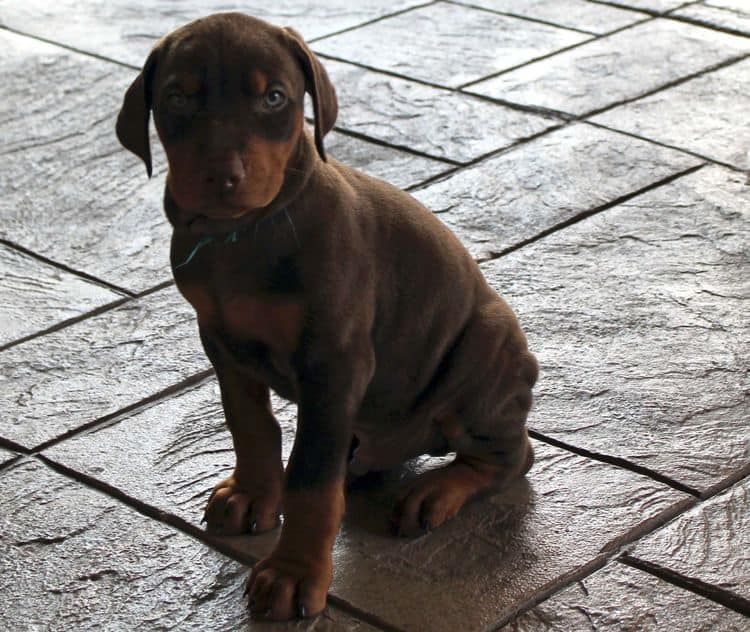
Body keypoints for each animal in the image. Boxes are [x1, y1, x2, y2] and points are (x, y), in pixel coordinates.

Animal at [116, 12, 540, 620]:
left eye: (274, 97)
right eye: (178, 96)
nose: (222, 176)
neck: (243, 235)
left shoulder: (333, 360)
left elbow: (312, 480)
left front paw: (295, 574)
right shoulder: (221, 342)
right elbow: (251, 425)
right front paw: (252, 494)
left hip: (483, 356)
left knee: (510, 455)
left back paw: (435, 492)